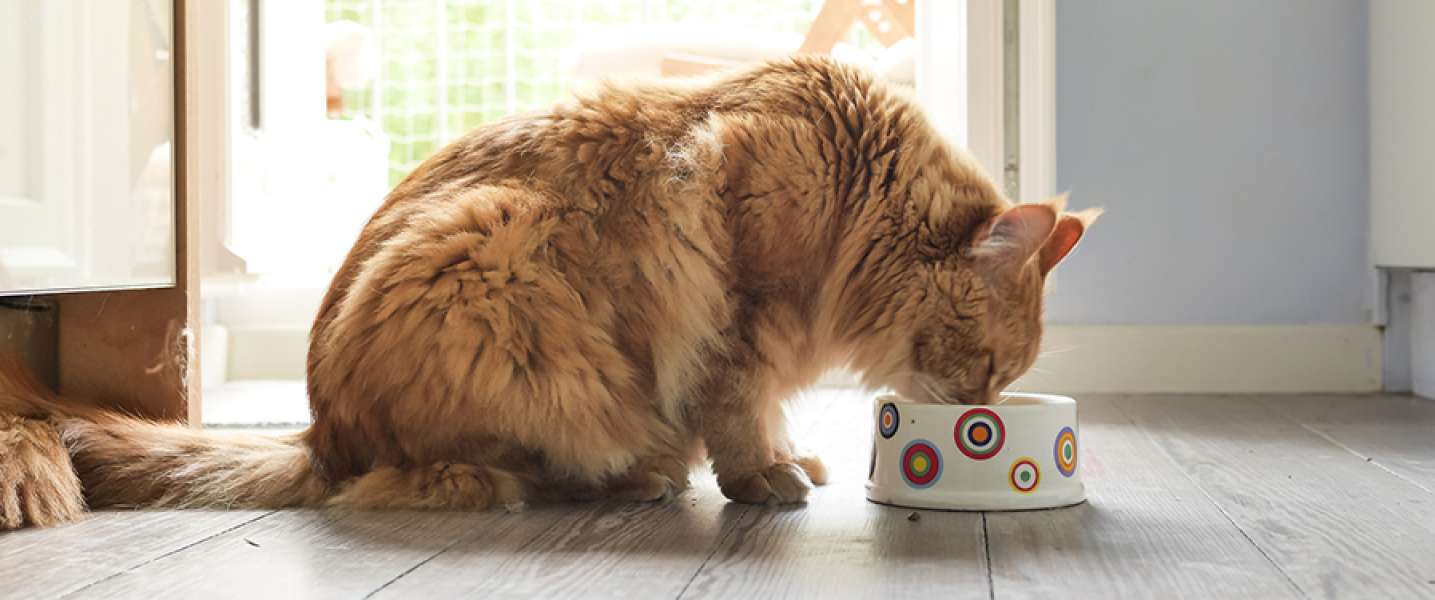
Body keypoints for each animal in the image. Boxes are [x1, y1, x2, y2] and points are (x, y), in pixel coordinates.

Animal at [0, 55, 1097, 529]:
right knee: (463, 478)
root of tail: (319, 433)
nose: (982, 411)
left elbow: (767, 415)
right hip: (496, 271)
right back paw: (627, 481)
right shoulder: (737, 317)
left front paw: (791, 458)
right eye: (988, 367)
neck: (849, 188)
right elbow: (741, 418)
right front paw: (765, 478)